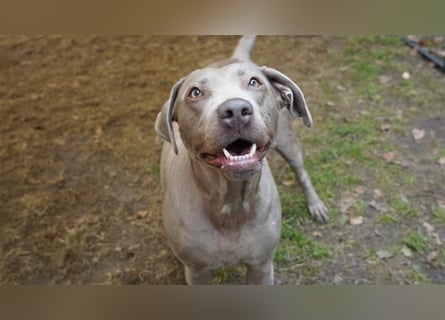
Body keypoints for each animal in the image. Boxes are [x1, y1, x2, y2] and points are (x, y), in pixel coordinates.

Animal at [155, 35, 326, 284]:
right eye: (195, 92)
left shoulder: (261, 266)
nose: (235, 110)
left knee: (301, 173)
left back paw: (315, 205)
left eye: (254, 83)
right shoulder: (197, 271)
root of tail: (235, 56)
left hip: (288, 143)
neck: (231, 203)